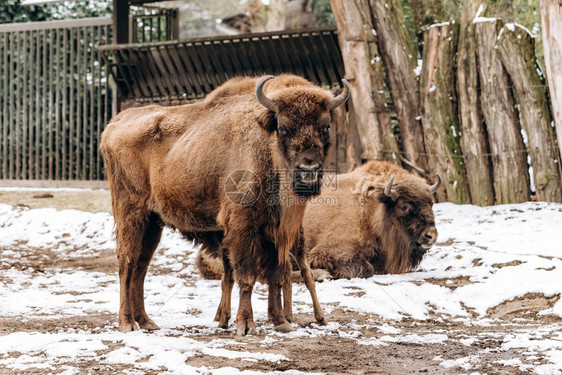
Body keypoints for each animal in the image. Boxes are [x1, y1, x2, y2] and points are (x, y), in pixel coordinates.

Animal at [99, 73, 346, 334]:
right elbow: (247, 275)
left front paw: (281, 322)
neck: (265, 146)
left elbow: (276, 274)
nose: (308, 172)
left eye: (325, 127)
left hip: (153, 222)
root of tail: (113, 124)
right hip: (130, 215)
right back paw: (127, 323)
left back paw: (147, 321)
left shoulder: (275, 230)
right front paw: (246, 325)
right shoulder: (243, 224)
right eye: (283, 128)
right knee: (127, 263)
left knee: (141, 266)